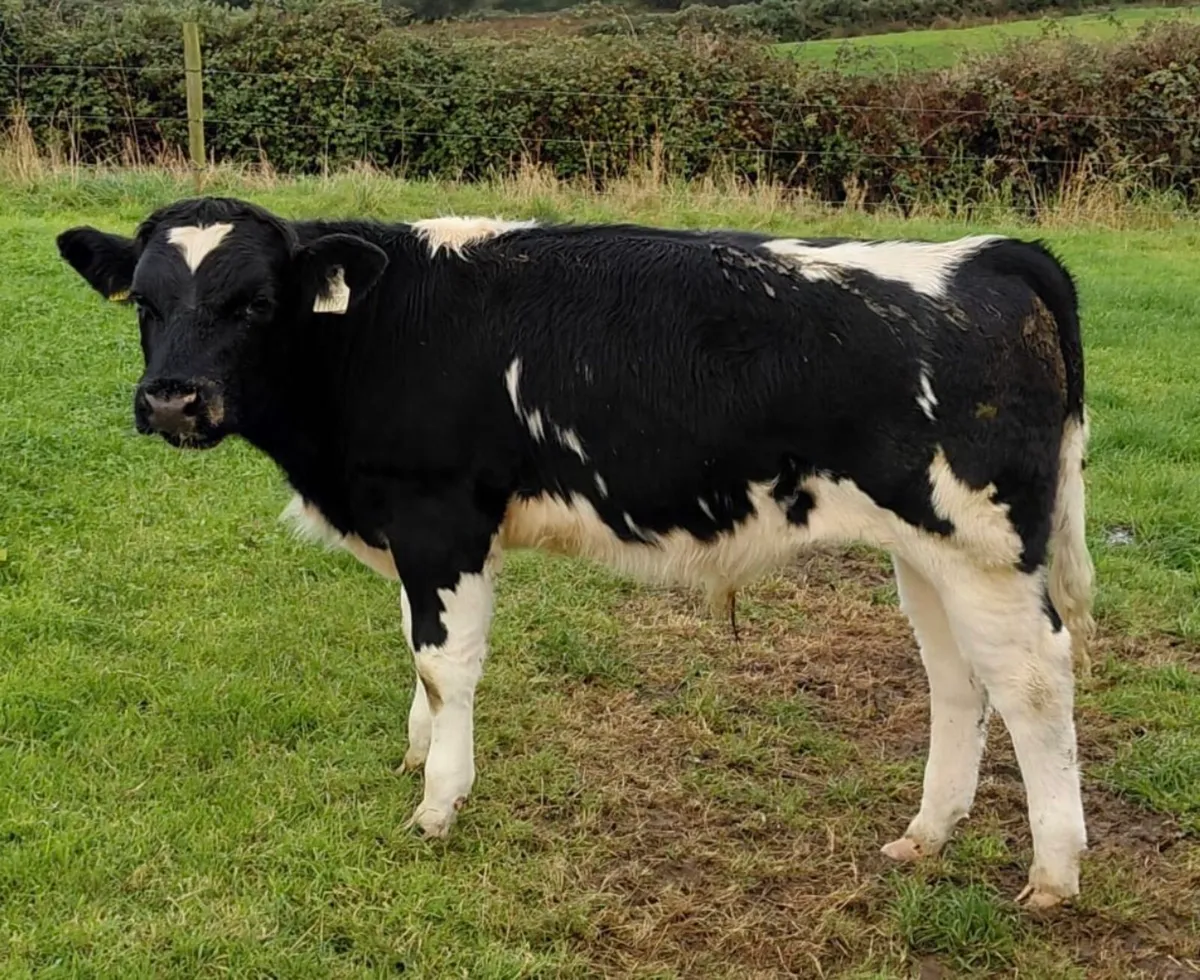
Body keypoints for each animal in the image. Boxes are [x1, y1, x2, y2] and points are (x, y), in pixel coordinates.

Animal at [56, 195, 1095, 909]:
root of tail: (991, 253)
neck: (380, 331)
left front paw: (437, 803)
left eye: (258, 303)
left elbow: (446, 665)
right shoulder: (411, 529)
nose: (172, 400)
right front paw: (417, 754)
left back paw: (1053, 874)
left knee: (1034, 679)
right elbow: (415, 653)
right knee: (958, 679)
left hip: (984, 547)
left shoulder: (441, 520)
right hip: (925, 551)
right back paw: (927, 833)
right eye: (145, 302)